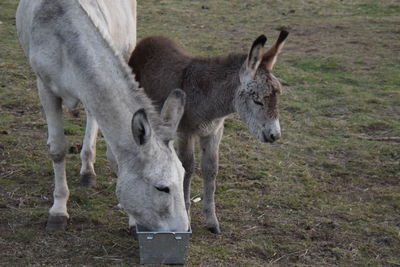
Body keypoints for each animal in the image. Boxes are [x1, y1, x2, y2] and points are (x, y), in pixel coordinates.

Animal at [128, 30, 288, 233]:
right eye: (257, 100)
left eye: (277, 98)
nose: (275, 135)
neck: (207, 99)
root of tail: (150, 38)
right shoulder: (185, 133)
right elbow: (188, 168)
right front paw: (186, 218)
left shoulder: (213, 132)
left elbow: (211, 169)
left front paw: (212, 221)